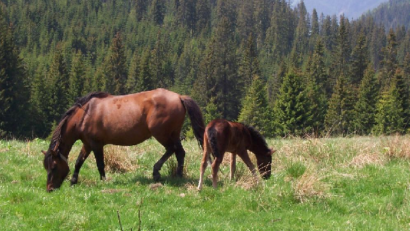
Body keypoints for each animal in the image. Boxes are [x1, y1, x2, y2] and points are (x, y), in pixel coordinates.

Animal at [41, 88, 205, 191]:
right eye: (46, 167)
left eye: (54, 167)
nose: (50, 189)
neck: (85, 114)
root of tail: (179, 97)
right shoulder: (87, 144)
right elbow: (78, 162)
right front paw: (73, 181)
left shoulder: (96, 144)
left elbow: (100, 164)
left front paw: (103, 180)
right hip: (173, 134)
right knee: (180, 152)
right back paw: (179, 175)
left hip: (161, 134)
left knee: (172, 149)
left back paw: (157, 171)